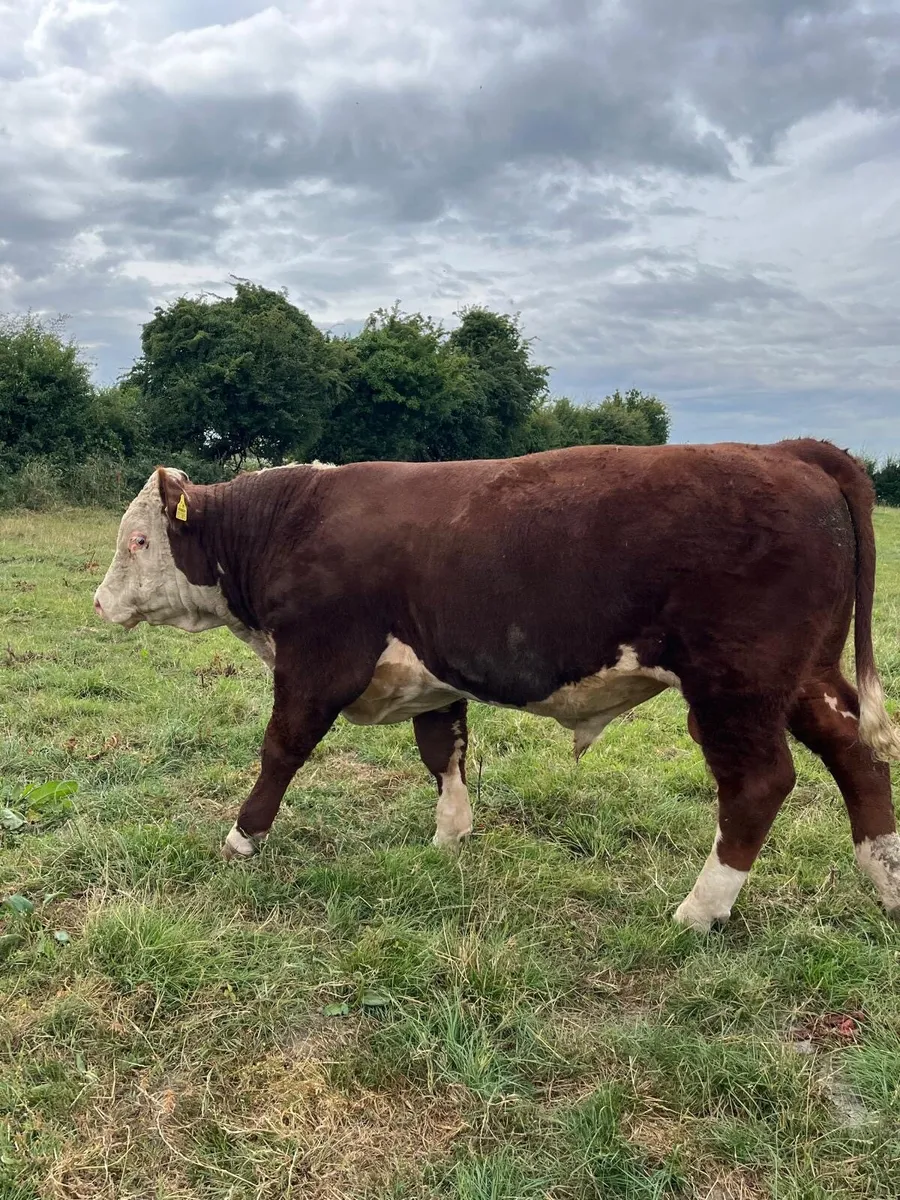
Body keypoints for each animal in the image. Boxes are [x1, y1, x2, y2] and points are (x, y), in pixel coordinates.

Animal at [93, 440, 900, 931]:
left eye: (138, 540)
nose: (99, 602)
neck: (289, 522)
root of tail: (789, 450)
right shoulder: (433, 669)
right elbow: (442, 748)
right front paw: (451, 836)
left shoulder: (317, 664)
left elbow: (281, 749)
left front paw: (242, 837)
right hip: (802, 679)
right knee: (858, 753)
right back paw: (885, 878)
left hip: (735, 687)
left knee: (760, 783)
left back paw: (700, 910)